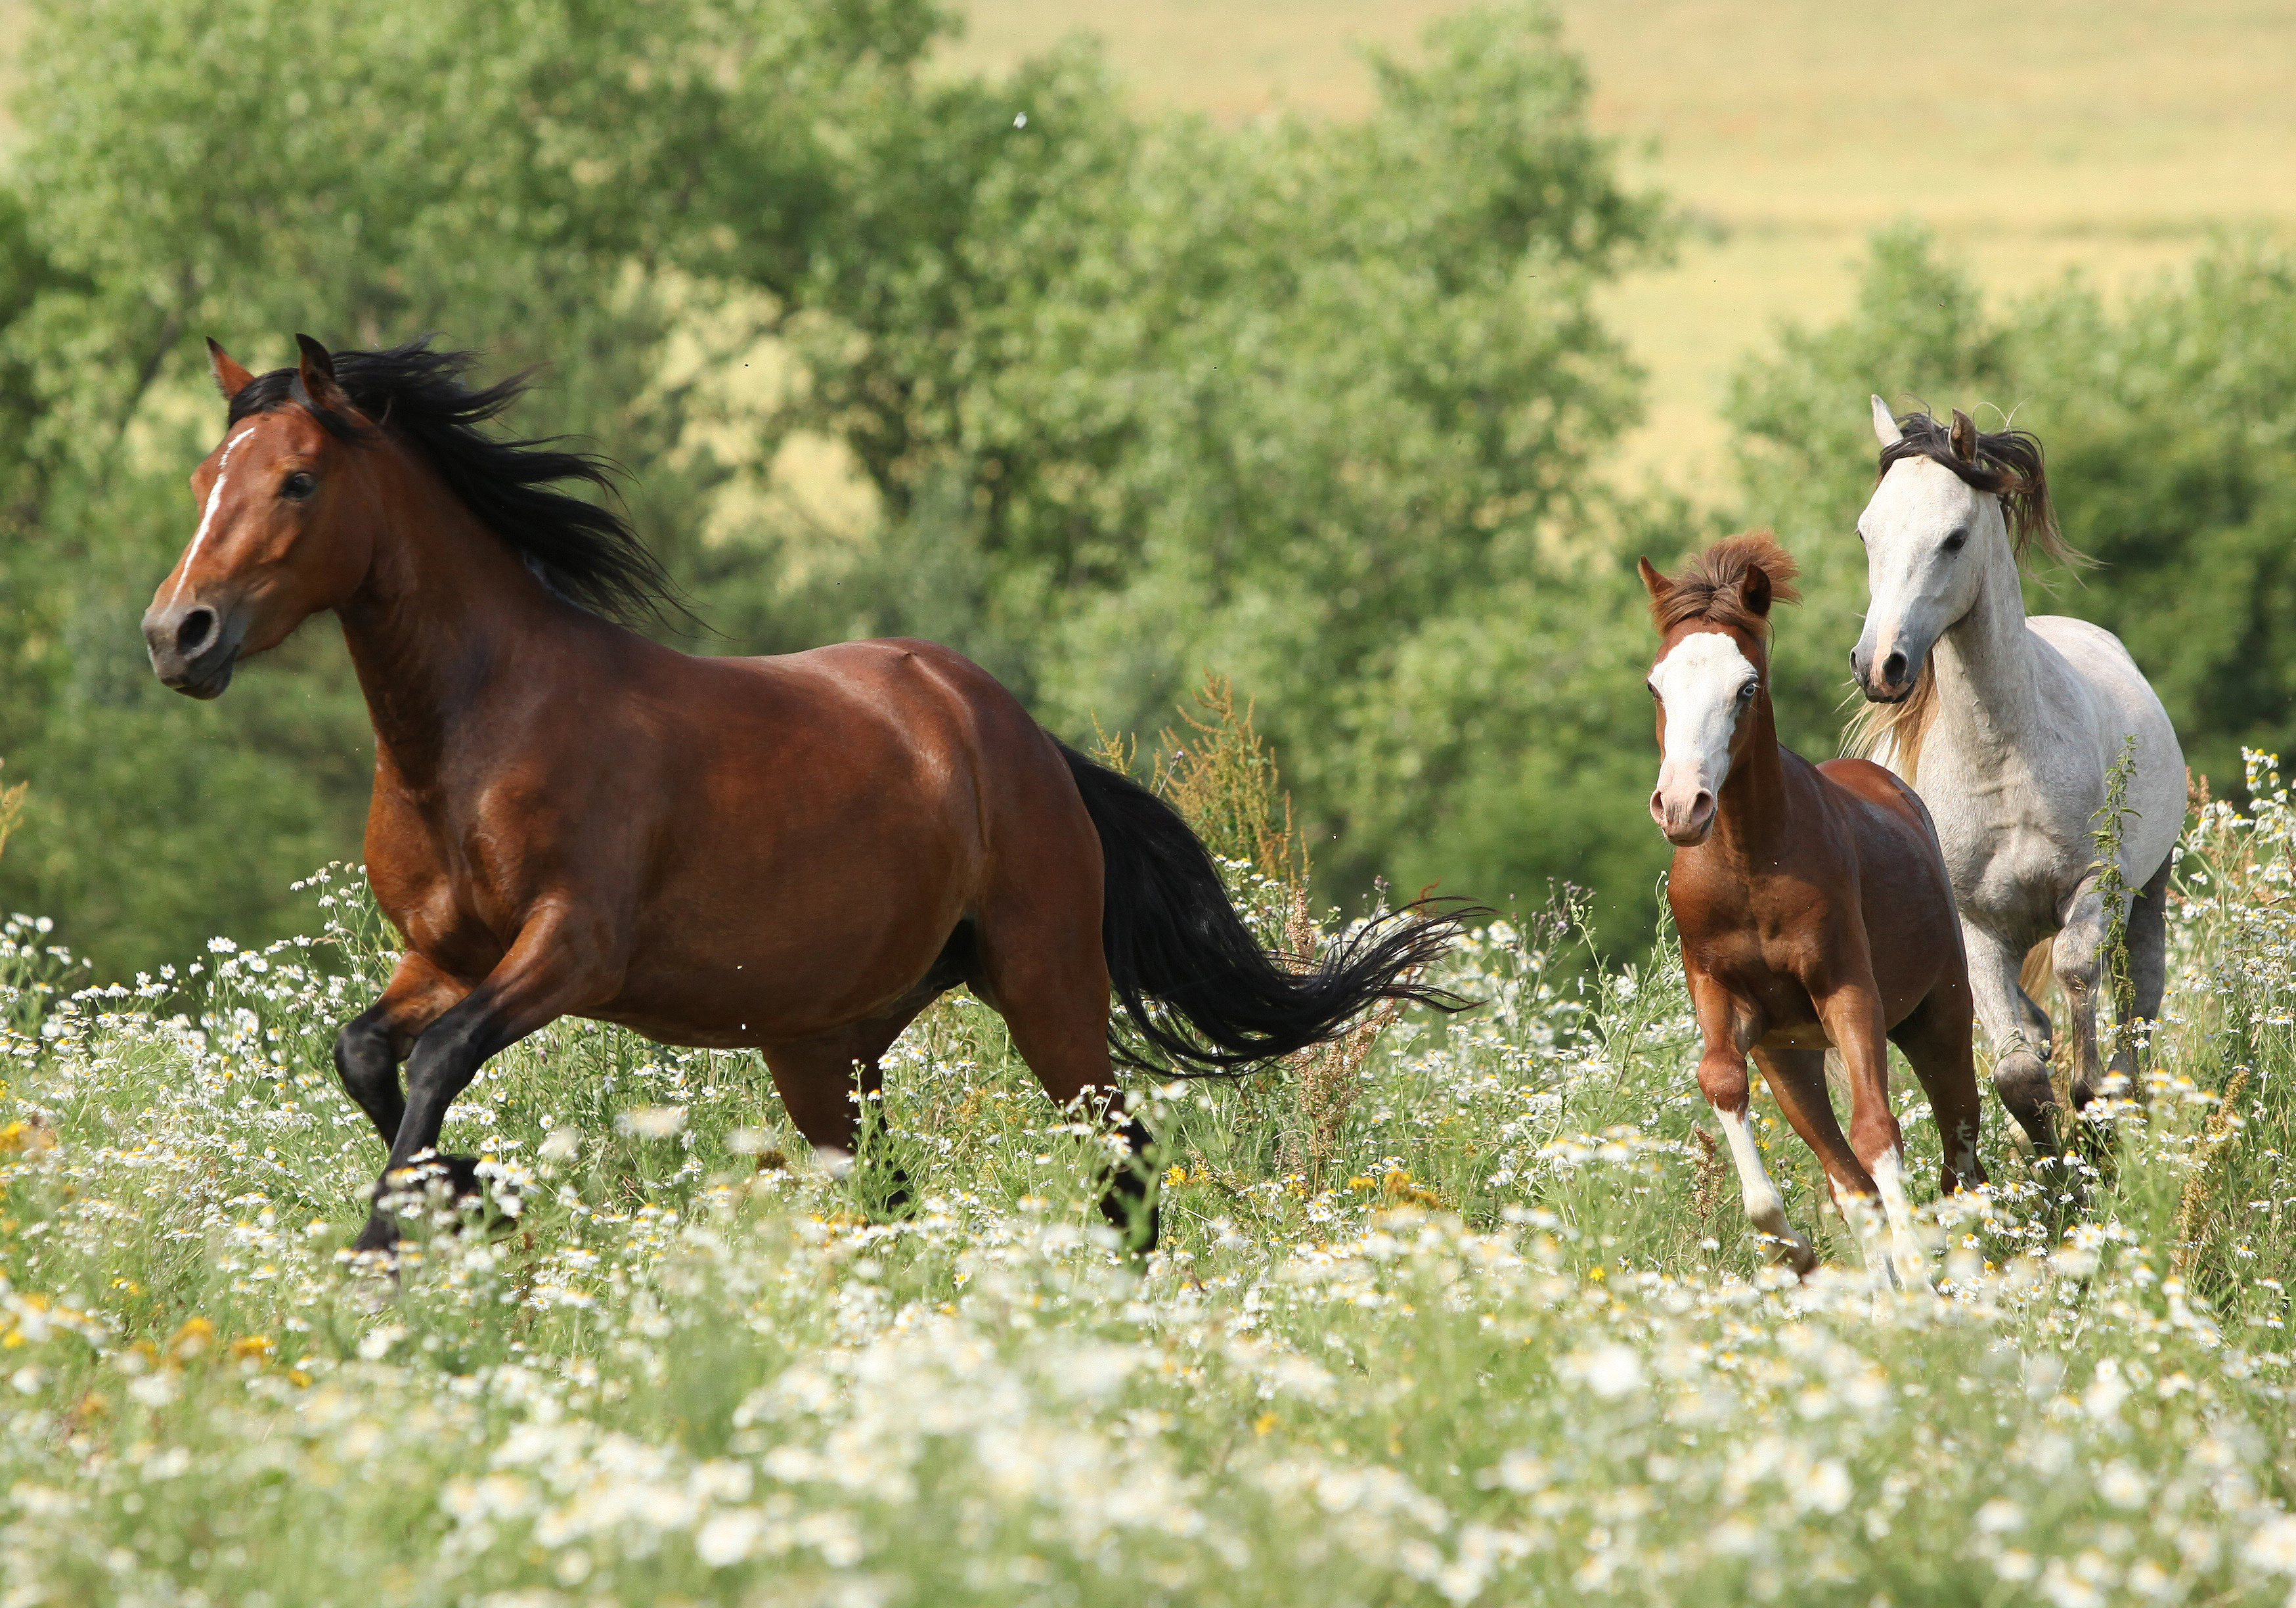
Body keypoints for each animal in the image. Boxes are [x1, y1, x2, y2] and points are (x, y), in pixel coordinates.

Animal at [148, 333, 1469, 1249]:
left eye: (299, 481)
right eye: (207, 472)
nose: (177, 634)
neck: (476, 733)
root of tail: (1022, 738)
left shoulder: (571, 949)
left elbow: (434, 1063)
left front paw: (399, 1231)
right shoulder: (442, 955)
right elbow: (364, 1054)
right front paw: (469, 1193)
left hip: (1047, 990)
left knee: (1126, 1160)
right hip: (825, 1046)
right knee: (893, 1187)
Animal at [1635, 537, 1993, 1277]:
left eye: (1746, 688)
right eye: (1655, 686)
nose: (1682, 806)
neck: (1750, 867)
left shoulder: (1847, 991)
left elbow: (1878, 1130)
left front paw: (1916, 1275)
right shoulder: (1727, 999)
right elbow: (1722, 1082)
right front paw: (1791, 1250)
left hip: (1938, 1014)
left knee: (1961, 1157)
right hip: (1792, 1059)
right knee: (1850, 1182)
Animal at [1836, 402, 2176, 1157]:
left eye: (1954, 538)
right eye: (1866, 531)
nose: (1880, 665)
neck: (2002, 767)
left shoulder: (2096, 884)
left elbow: (2077, 967)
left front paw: (2094, 1108)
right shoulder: (1975, 928)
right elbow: (2017, 1071)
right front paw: (2056, 1157)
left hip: (2152, 888)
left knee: (2139, 998)